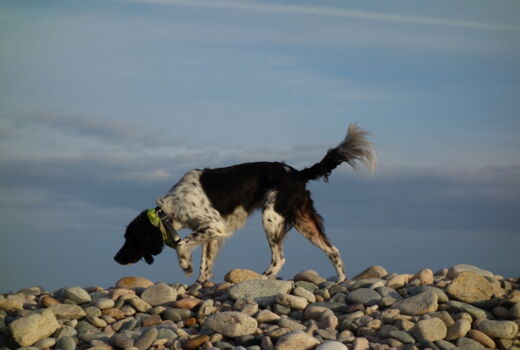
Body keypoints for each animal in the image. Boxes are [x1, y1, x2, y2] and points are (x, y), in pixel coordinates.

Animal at [115, 124, 374, 284]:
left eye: (131, 238)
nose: (116, 259)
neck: (170, 209)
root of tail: (297, 173)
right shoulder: (211, 234)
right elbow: (205, 264)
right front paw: (200, 283)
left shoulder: (214, 226)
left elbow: (182, 245)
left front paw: (186, 266)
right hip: (303, 222)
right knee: (332, 250)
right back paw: (341, 281)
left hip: (271, 217)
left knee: (279, 257)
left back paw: (263, 278)